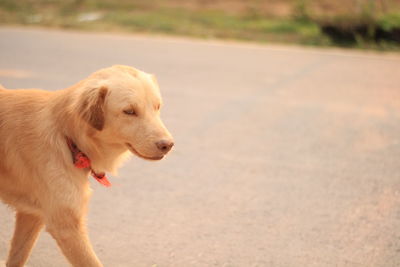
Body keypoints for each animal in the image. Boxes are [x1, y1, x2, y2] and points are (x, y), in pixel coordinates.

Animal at [0, 65, 174, 267]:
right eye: (129, 111)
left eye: (157, 107)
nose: (168, 145)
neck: (67, 136)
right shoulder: (67, 227)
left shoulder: (31, 215)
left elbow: (17, 257)